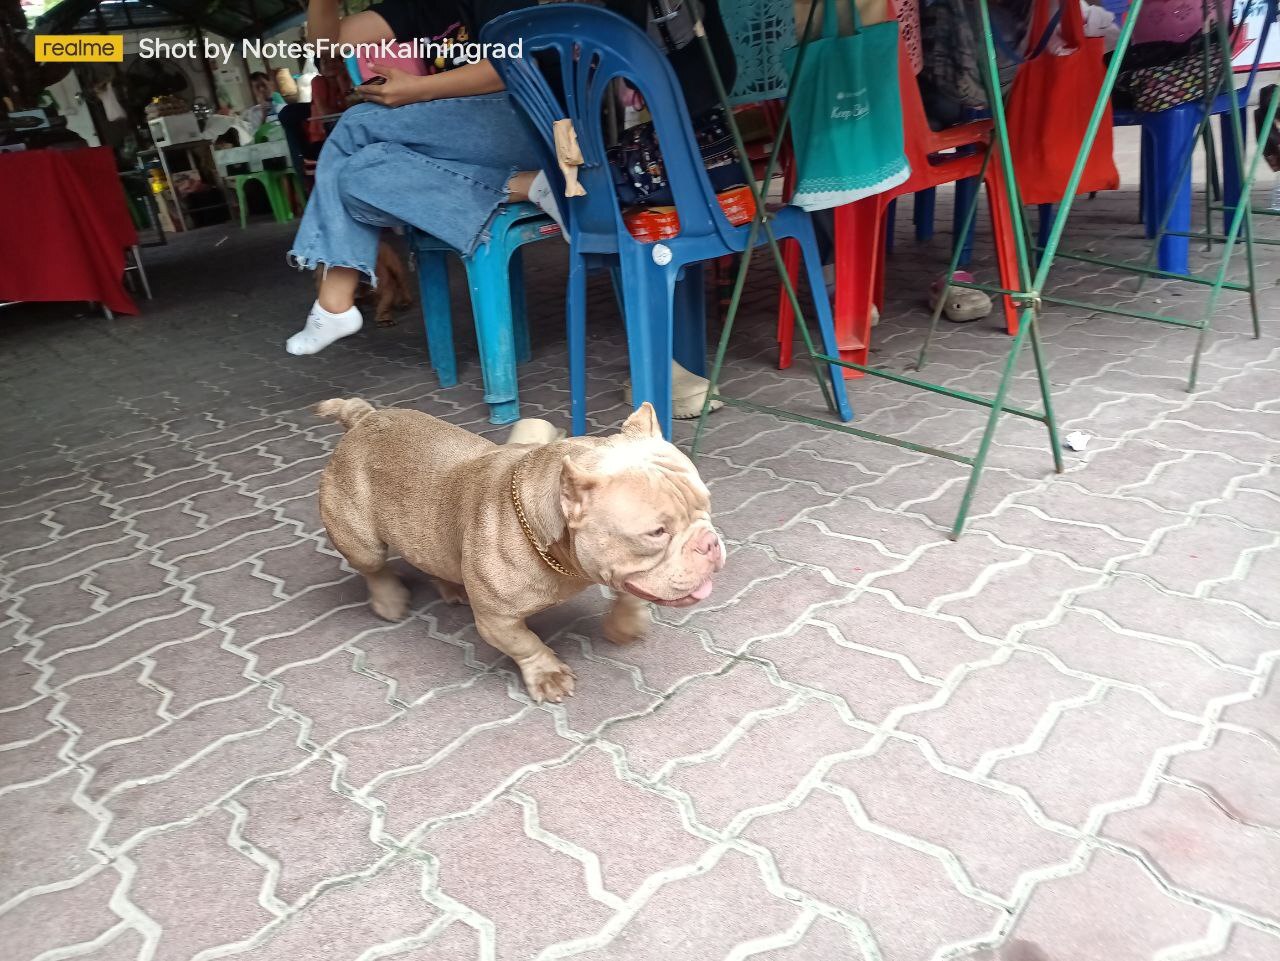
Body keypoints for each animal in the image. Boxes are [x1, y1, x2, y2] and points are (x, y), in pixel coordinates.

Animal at [314, 399, 727, 701]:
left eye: (707, 504)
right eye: (656, 533)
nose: (709, 543)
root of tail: (363, 417)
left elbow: (630, 591)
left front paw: (626, 623)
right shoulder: (497, 619)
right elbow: (526, 644)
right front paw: (548, 675)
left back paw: (450, 587)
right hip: (361, 540)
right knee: (373, 568)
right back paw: (389, 600)